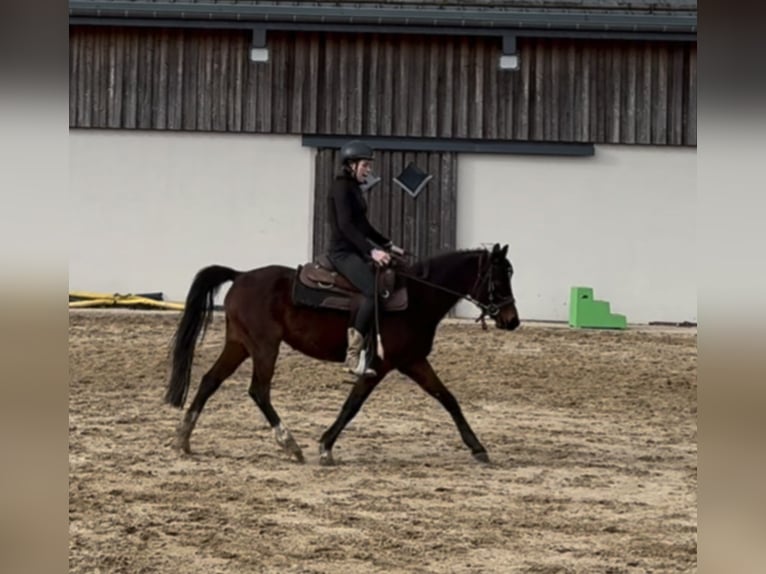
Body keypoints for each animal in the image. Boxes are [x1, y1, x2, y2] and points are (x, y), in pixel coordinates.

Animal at [164, 243, 520, 468]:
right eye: (499, 278)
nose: (512, 320)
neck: (417, 297)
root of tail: (240, 275)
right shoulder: (382, 365)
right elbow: (353, 405)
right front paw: (325, 447)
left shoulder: (413, 361)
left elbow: (447, 398)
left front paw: (477, 447)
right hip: (265, 347)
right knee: (258, 391)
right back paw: (290, 444)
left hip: (238, 345)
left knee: (209, 380)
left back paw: (183, 439)